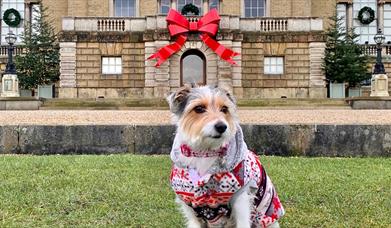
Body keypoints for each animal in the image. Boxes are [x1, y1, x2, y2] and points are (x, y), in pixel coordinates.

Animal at [168, 85, 284, 228]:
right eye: (199, 108)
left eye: (224, 109)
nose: (222, 126)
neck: (205, 152)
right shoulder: (189, 205)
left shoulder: (241, 198)